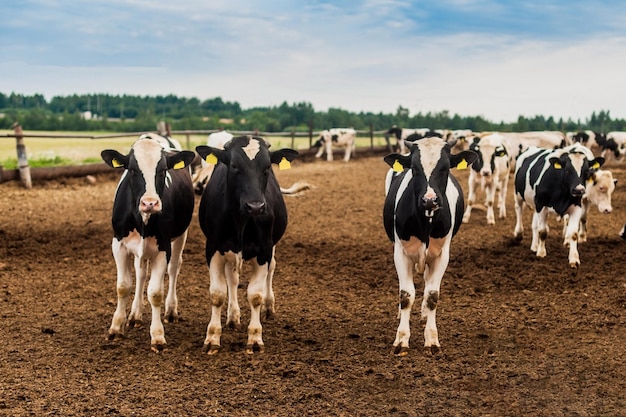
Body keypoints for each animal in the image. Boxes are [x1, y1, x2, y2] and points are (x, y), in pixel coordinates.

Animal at [100, 134, 195, 352]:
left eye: (162, 170)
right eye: (133, 169)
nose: (150, 203)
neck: (143, 219)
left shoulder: (163, 248)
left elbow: (155, 292)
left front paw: (157, 335)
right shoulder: (118, 244)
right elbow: (123, 286)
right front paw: (116, 327)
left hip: (181, 235)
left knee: (174, 268)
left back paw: (170, 310)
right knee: (141, 272)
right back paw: (135, 314)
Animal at [197, 135, 300, 352]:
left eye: (267, 166)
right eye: (234, 166)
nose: (256, 206)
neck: (241, 220)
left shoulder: (264, 250)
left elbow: (255, 295)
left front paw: (254, 337)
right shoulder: (213, 249)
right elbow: (218, 294)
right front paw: (212, 337)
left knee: (271, 270)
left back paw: (269, 306)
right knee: (233, 279)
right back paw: (233, 316)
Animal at [380, 136, 478, 354]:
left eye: (445, 168)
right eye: (415, 169)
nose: (429, 200)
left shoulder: (442, 254)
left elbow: (432, 295)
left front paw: (432, 339)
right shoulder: (401, 252)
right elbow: (406, 295)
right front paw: (401, 339)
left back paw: (424, 314)